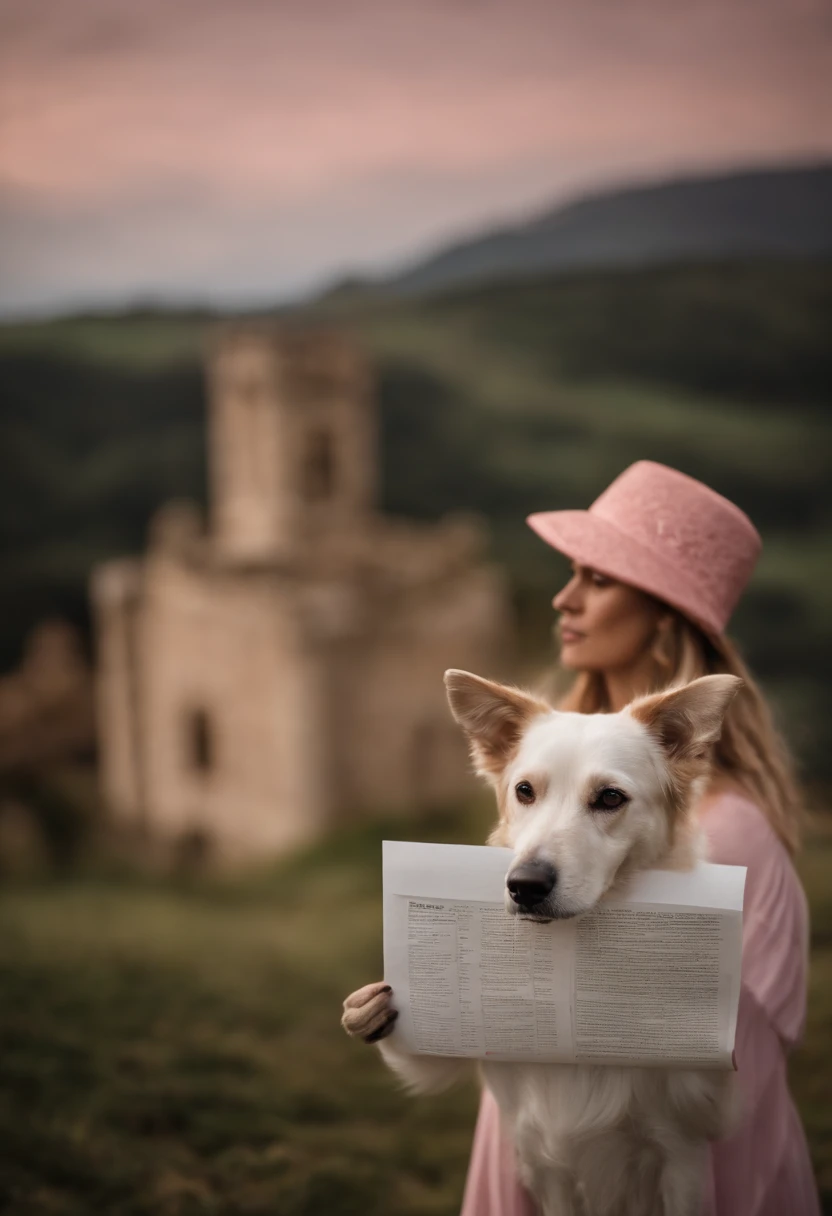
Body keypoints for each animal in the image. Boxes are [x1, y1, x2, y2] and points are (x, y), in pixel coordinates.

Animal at [340, 671, 739, 1211]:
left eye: (610, 797)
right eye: (525, 791)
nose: (524, 886)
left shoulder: (683, 1158)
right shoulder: (544, 1165)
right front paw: (368, 1010)